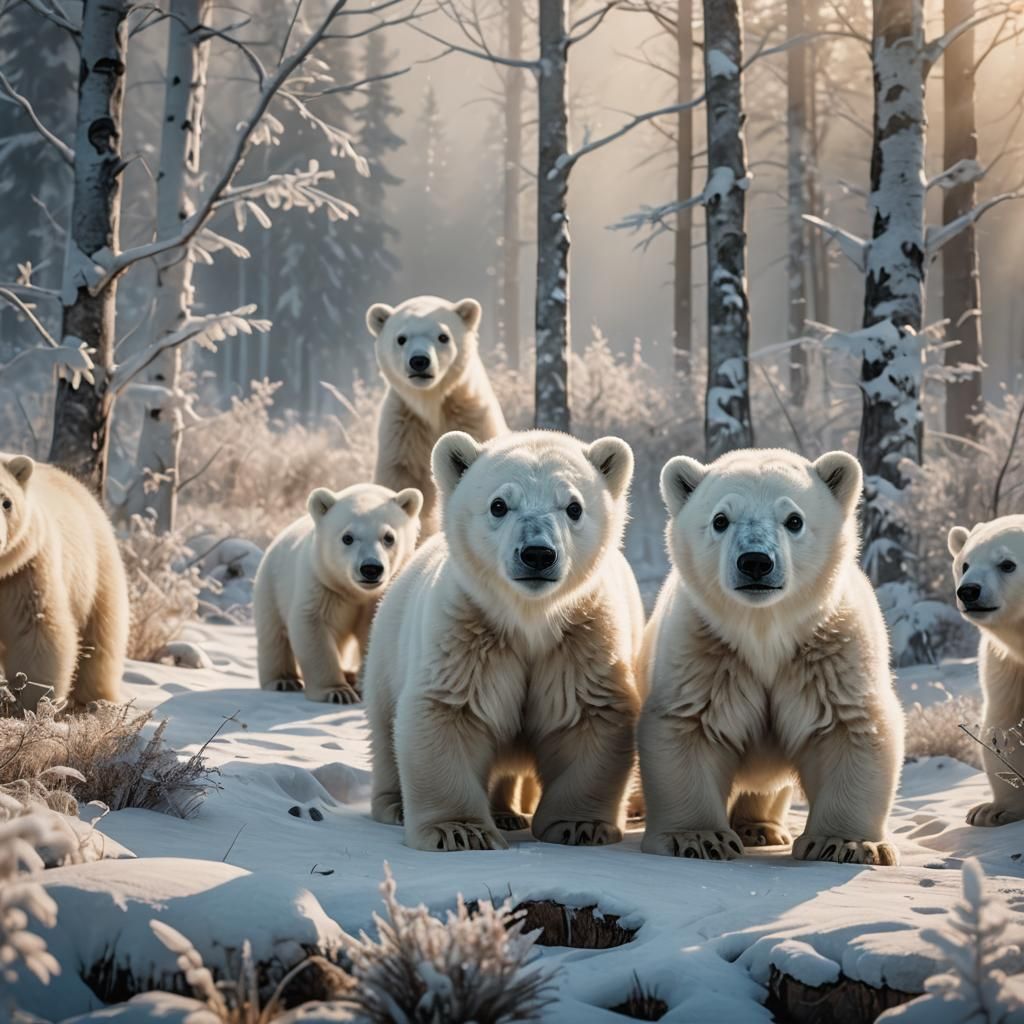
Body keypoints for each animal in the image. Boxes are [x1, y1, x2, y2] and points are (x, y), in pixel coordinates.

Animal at [0, 455, 128, 706]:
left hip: (97, 576)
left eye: (6, 502)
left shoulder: (25, 575)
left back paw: (97, 701)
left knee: (100, 645)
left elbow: (37, 634)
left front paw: (32, 703)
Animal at [254, 483, 423, 704]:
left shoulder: (380, 596)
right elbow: (311, 625)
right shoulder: (322, 585)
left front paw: (362, 684)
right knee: (273, 633)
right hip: (271, 582)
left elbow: (375, 632)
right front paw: (337, 692)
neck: (354, 592)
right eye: (347, 537)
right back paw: (283, 680)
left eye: (389, 537)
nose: (371, 568)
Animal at [362, 429, 644, 852]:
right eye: (499, 504)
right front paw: (459, 831)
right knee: (384, 729)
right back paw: (394, 805)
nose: (537, 554)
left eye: (573, 506)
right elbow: (448, 712)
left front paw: (579, 826)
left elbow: (589, 714)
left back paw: (507, 813)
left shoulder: (582, 640)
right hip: (387, 651)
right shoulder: (467, 635)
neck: (528, 619)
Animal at [365, 295, 507, 538]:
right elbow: (401, 481)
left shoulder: (471, 420)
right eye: (401, 338)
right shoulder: (405, 430)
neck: (431, 403)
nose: (419, 361)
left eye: (443, 336)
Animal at [638, 447, 903, 865]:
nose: (755, 562)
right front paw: (698, 838)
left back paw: (760, 828)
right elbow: (688, 725)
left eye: (794, 519)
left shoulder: (830, 651)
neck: (762, 631)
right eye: (720, 519)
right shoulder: (705, 651)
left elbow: (851, 725)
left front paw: (845, 844)